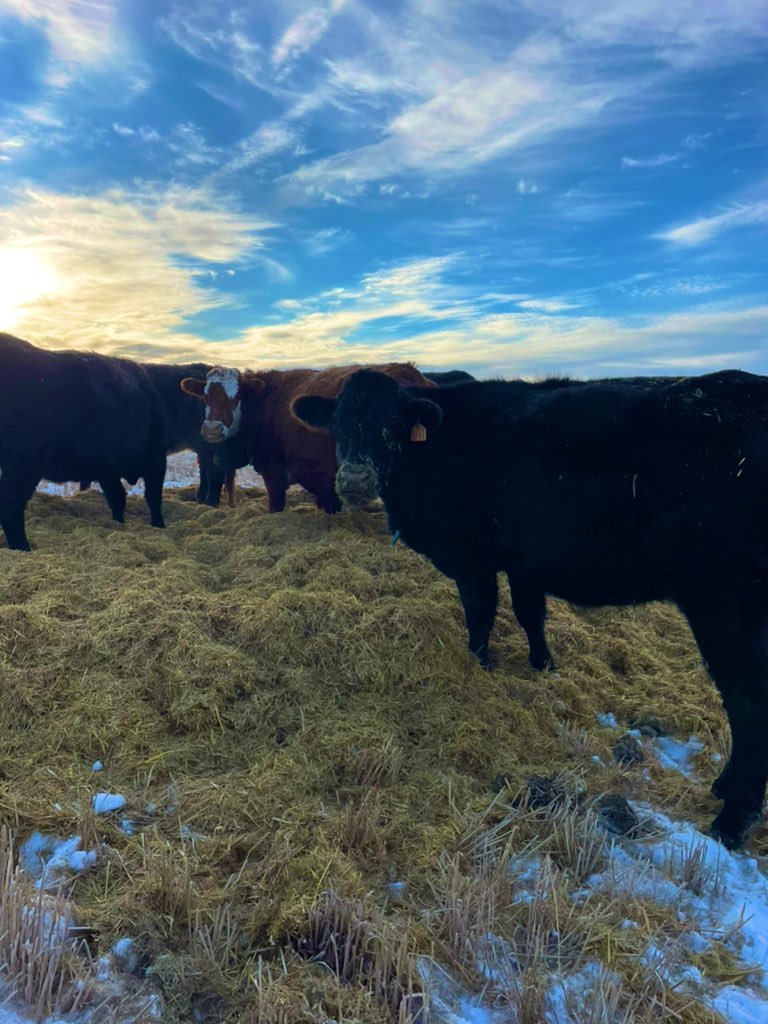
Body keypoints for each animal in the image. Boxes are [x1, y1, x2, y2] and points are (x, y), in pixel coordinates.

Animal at [290, 368, 768, 847]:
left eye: (390, 424)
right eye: (337, 422)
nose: (354, 479)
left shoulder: (473, 559)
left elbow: (480, 614)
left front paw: (479, 663)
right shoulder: (526, 563)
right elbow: (529, 615)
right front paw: (544, 666)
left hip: (726, 606)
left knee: (748, 703)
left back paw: (730, 822)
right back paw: (724, 788)